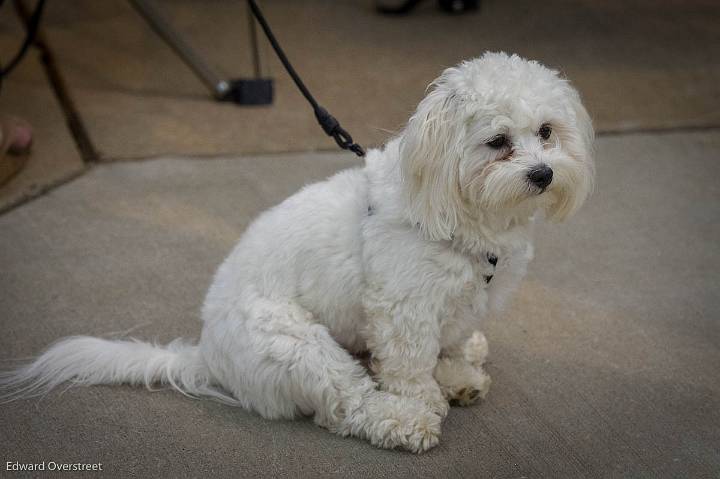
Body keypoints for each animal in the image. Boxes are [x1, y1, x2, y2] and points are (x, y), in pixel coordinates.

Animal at [1, 52, 592, 454]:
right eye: (498, 143)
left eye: (546, 132)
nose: (543, 174)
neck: (467, 212)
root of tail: (208, 354)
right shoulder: (405, 308)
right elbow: (409, 365)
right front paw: (423, 398)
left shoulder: (457, 302)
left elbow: (445, 342)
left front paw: (456, 368)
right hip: (298, 345)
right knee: (344, 406)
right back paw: (401, 421)